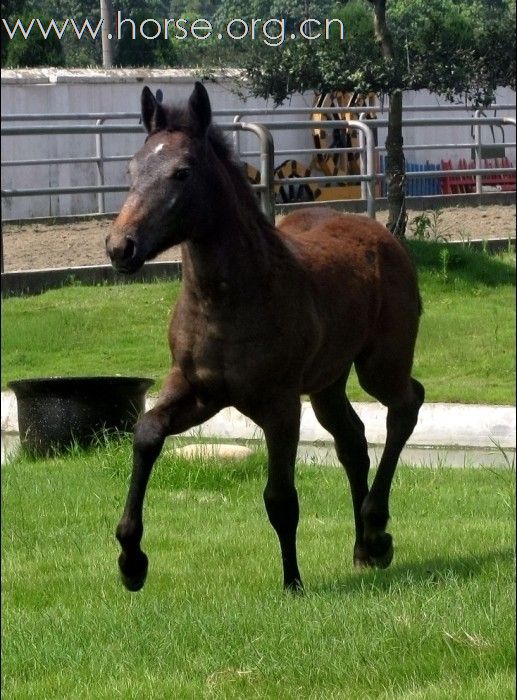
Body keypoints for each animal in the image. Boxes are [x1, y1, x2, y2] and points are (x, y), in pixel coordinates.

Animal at [105, 82, 424, 592]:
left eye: (182, 172)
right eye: (132, 170)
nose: (121, 247)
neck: (229, 299)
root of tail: (382, 234)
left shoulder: (280, 406)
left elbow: (280, 498)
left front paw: (292, 582)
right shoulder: (198, 391)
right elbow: (148, 432)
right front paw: (131, 562)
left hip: (380, 365)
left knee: (406, 405)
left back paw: (376, 530)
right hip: (328, 383)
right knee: (352, 441)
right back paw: (363, 549)